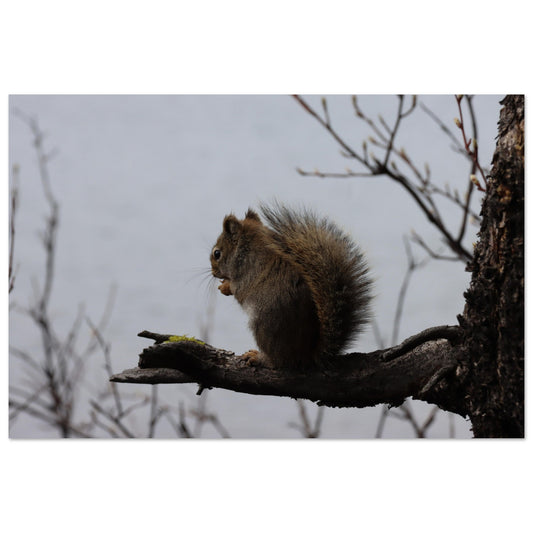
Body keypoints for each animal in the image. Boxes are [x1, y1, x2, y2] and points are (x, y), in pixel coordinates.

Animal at [210, 203, 373, 369]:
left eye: (217, 253)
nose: (213, 273)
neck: (247, 249)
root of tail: (307, 356)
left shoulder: (247, 273)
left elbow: (238, 289)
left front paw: (225, 287)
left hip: (265, 326)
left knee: (278, 361)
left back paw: (258, 357)